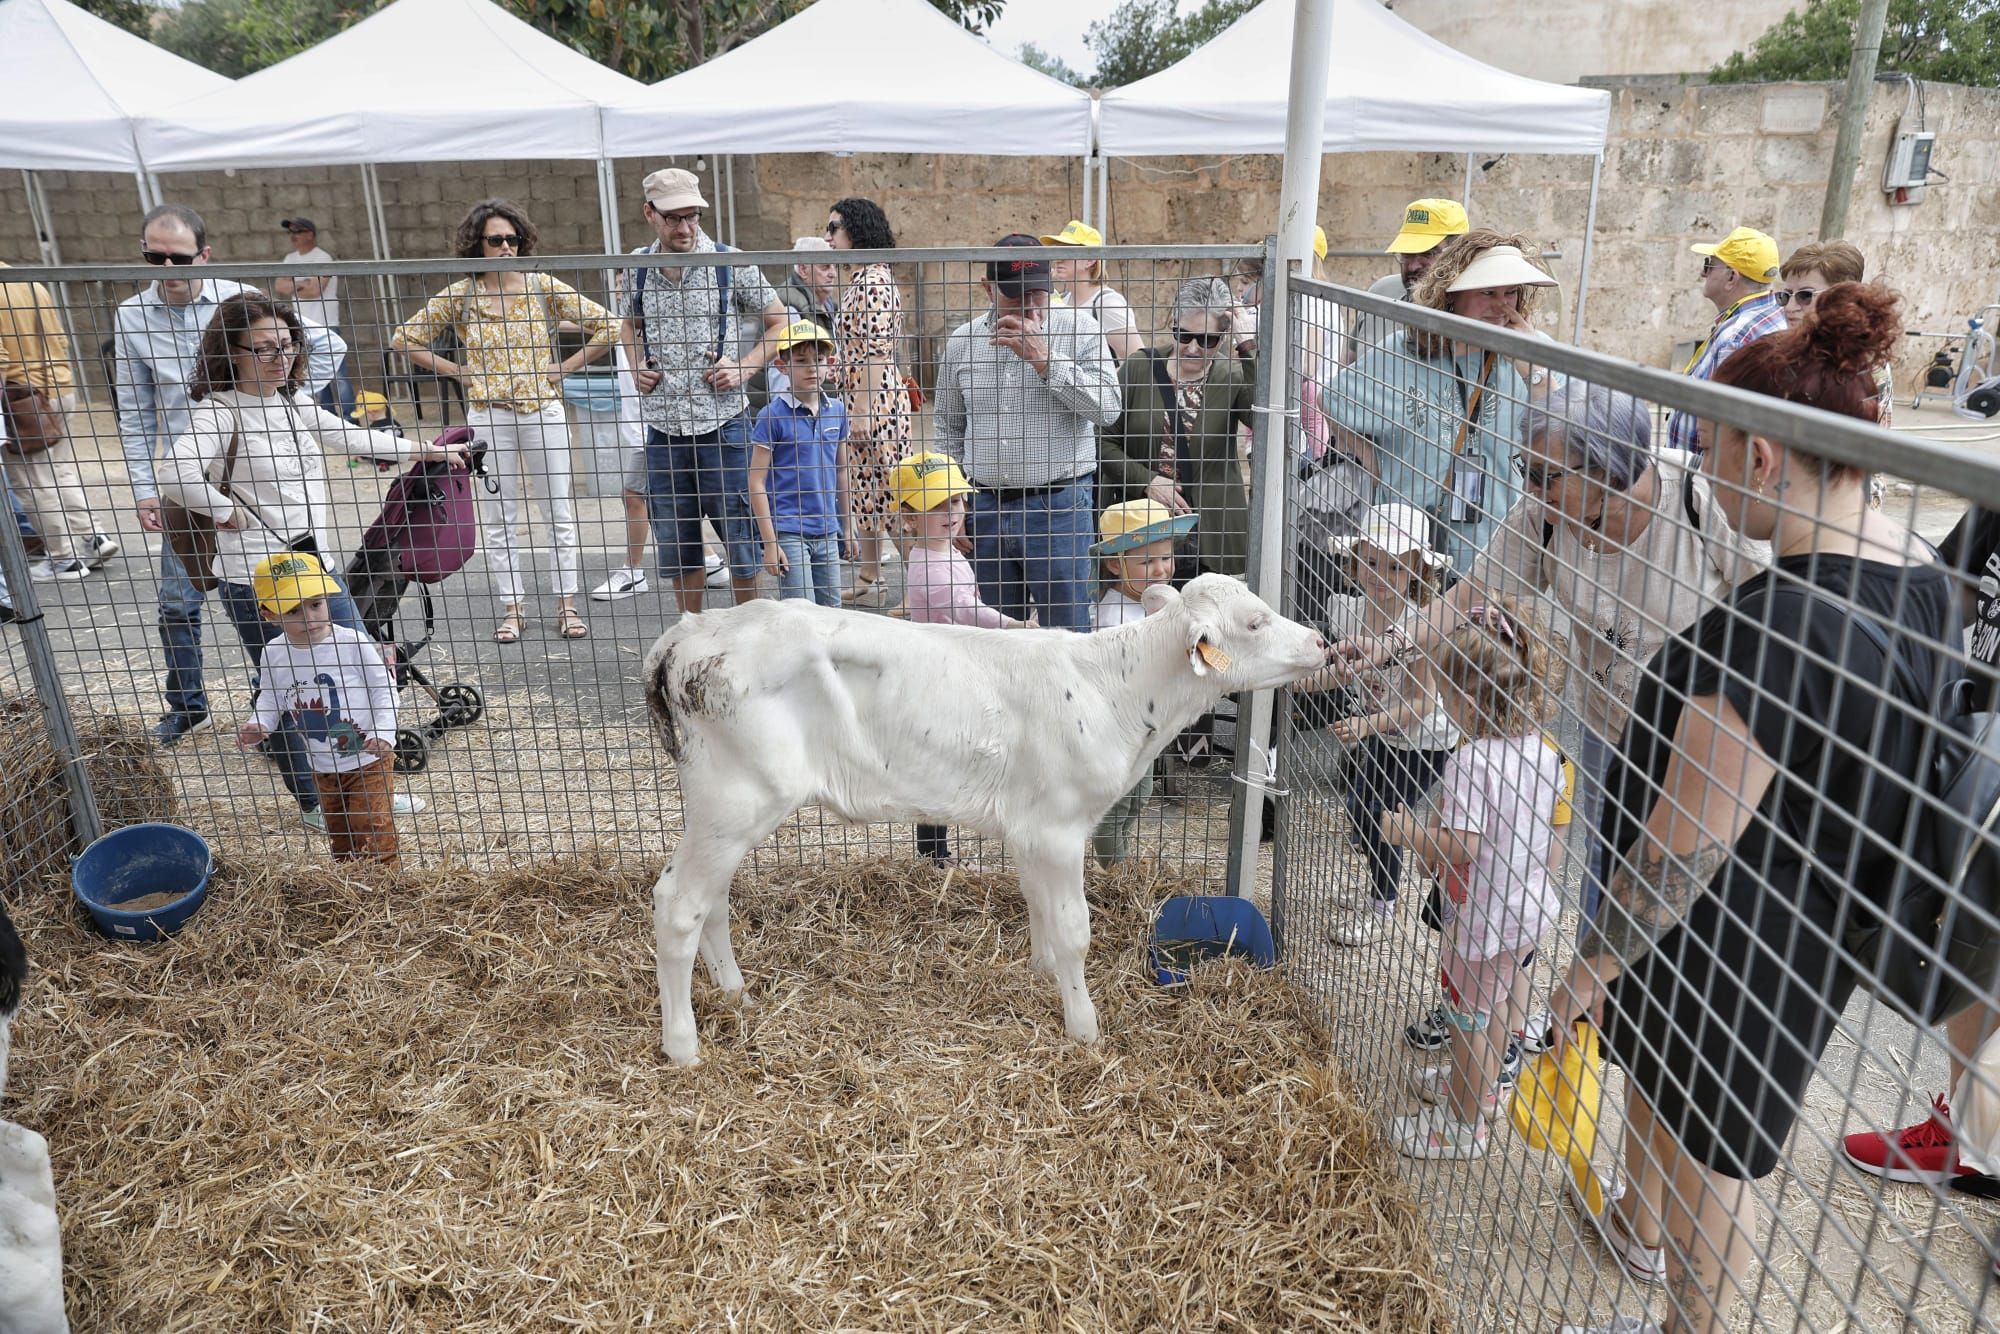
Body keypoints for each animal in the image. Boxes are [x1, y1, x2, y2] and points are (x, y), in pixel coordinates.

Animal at [640, 576, 1328, 1064]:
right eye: (1256, 621)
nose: (1322, 640)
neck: (1115, 691)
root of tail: (690, 633)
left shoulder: (1030, 826)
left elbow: (1036, 903)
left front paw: (1042, 974)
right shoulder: (1059, 827)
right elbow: (1074, 928)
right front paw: (1085, 1028)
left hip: (722, 809)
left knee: (710, 900)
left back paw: (735, 992)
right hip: (738, 798)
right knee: (677, 904)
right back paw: (684, 1045)